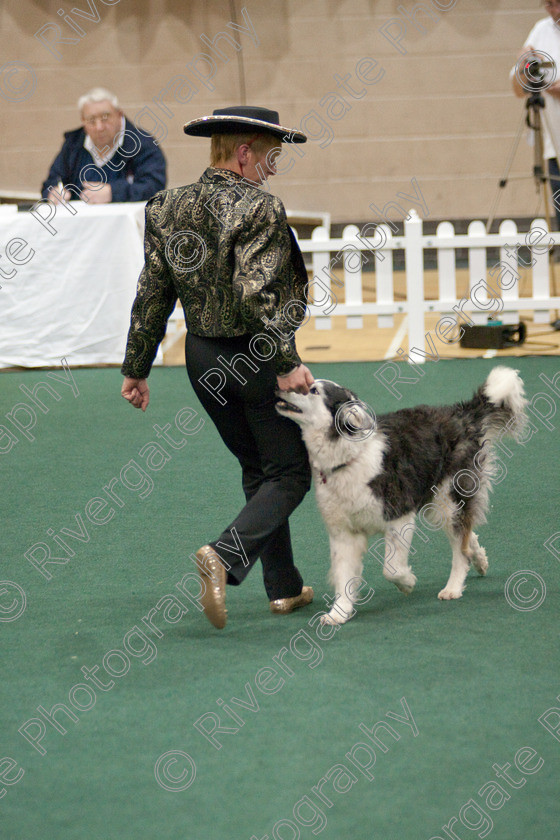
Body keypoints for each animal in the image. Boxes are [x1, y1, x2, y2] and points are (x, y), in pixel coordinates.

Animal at [278, 368, 528, 624]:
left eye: (313, 390)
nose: (279, 386)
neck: (348, 457)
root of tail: (461, 414)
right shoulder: (344, 532)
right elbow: (344, 575)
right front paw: (338, 613)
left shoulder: (399, 516)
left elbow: (391, 569)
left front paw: (407, 583)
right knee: (468, 538)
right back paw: (480, 561)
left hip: (448, 499)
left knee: (460, 548)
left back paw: (453, 588)